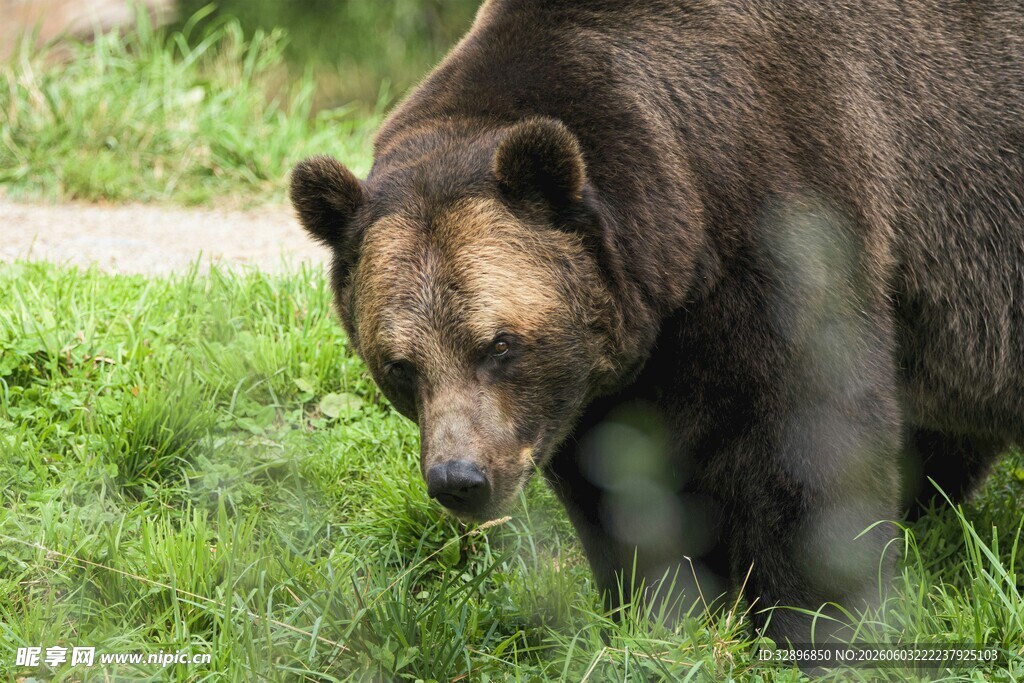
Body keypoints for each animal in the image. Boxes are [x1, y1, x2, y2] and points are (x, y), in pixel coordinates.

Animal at [290, 0, 1024, 648]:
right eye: (399, 365)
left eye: (499, 344)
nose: (461, 479)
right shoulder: (610, 376)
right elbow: (620, 485)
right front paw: (661, 610)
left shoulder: (788, 213)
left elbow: (807, 435)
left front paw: (815, 621)